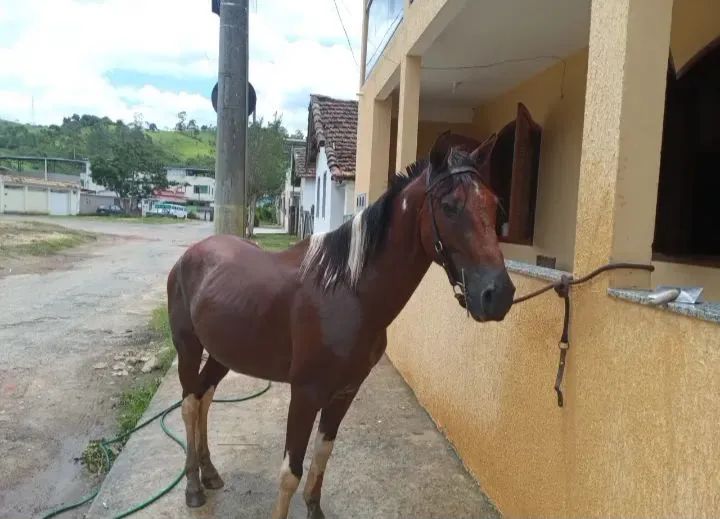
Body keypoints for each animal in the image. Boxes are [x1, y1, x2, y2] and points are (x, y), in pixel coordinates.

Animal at [166, 131, 516, 519]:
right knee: (189, 403)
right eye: (450, 206)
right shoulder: (305, 394)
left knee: (205, 398)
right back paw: (193, 486)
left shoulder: (345, 392)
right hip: (188, 347)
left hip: (222, 354)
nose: (498, 294)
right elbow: (290, 471)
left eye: (494, 204)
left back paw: (210, 472)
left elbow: (322, 455)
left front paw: (314, 509)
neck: (348, 292)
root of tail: (191, 254)